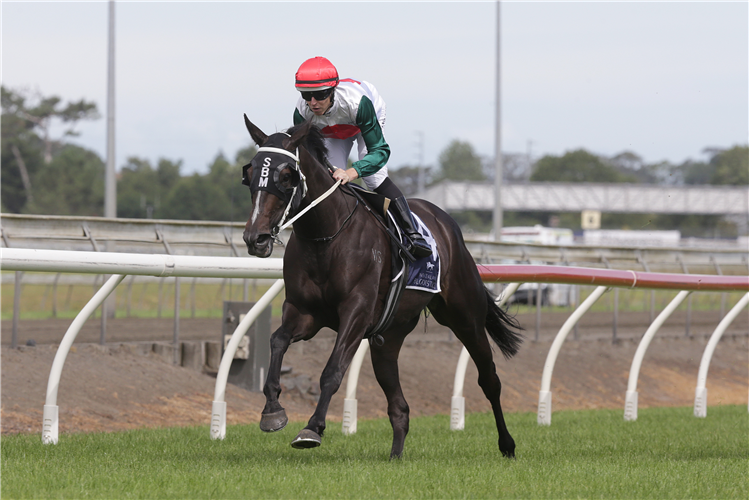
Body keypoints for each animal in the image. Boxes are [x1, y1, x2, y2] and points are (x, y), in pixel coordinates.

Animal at [241, 115, 520, 458]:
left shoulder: (357, 312)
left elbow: (332, 370)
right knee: (399, 406)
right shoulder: (304, 313)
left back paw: (507, 444)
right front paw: (272, 411)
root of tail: (447, 223)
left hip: (465, 316)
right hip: (388, 338)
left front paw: (312, 428)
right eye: (250, 173)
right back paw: (395, 455)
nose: (255, 238)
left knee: (489, 379)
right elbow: (277, 341)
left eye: (285, 175)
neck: (324, 236)